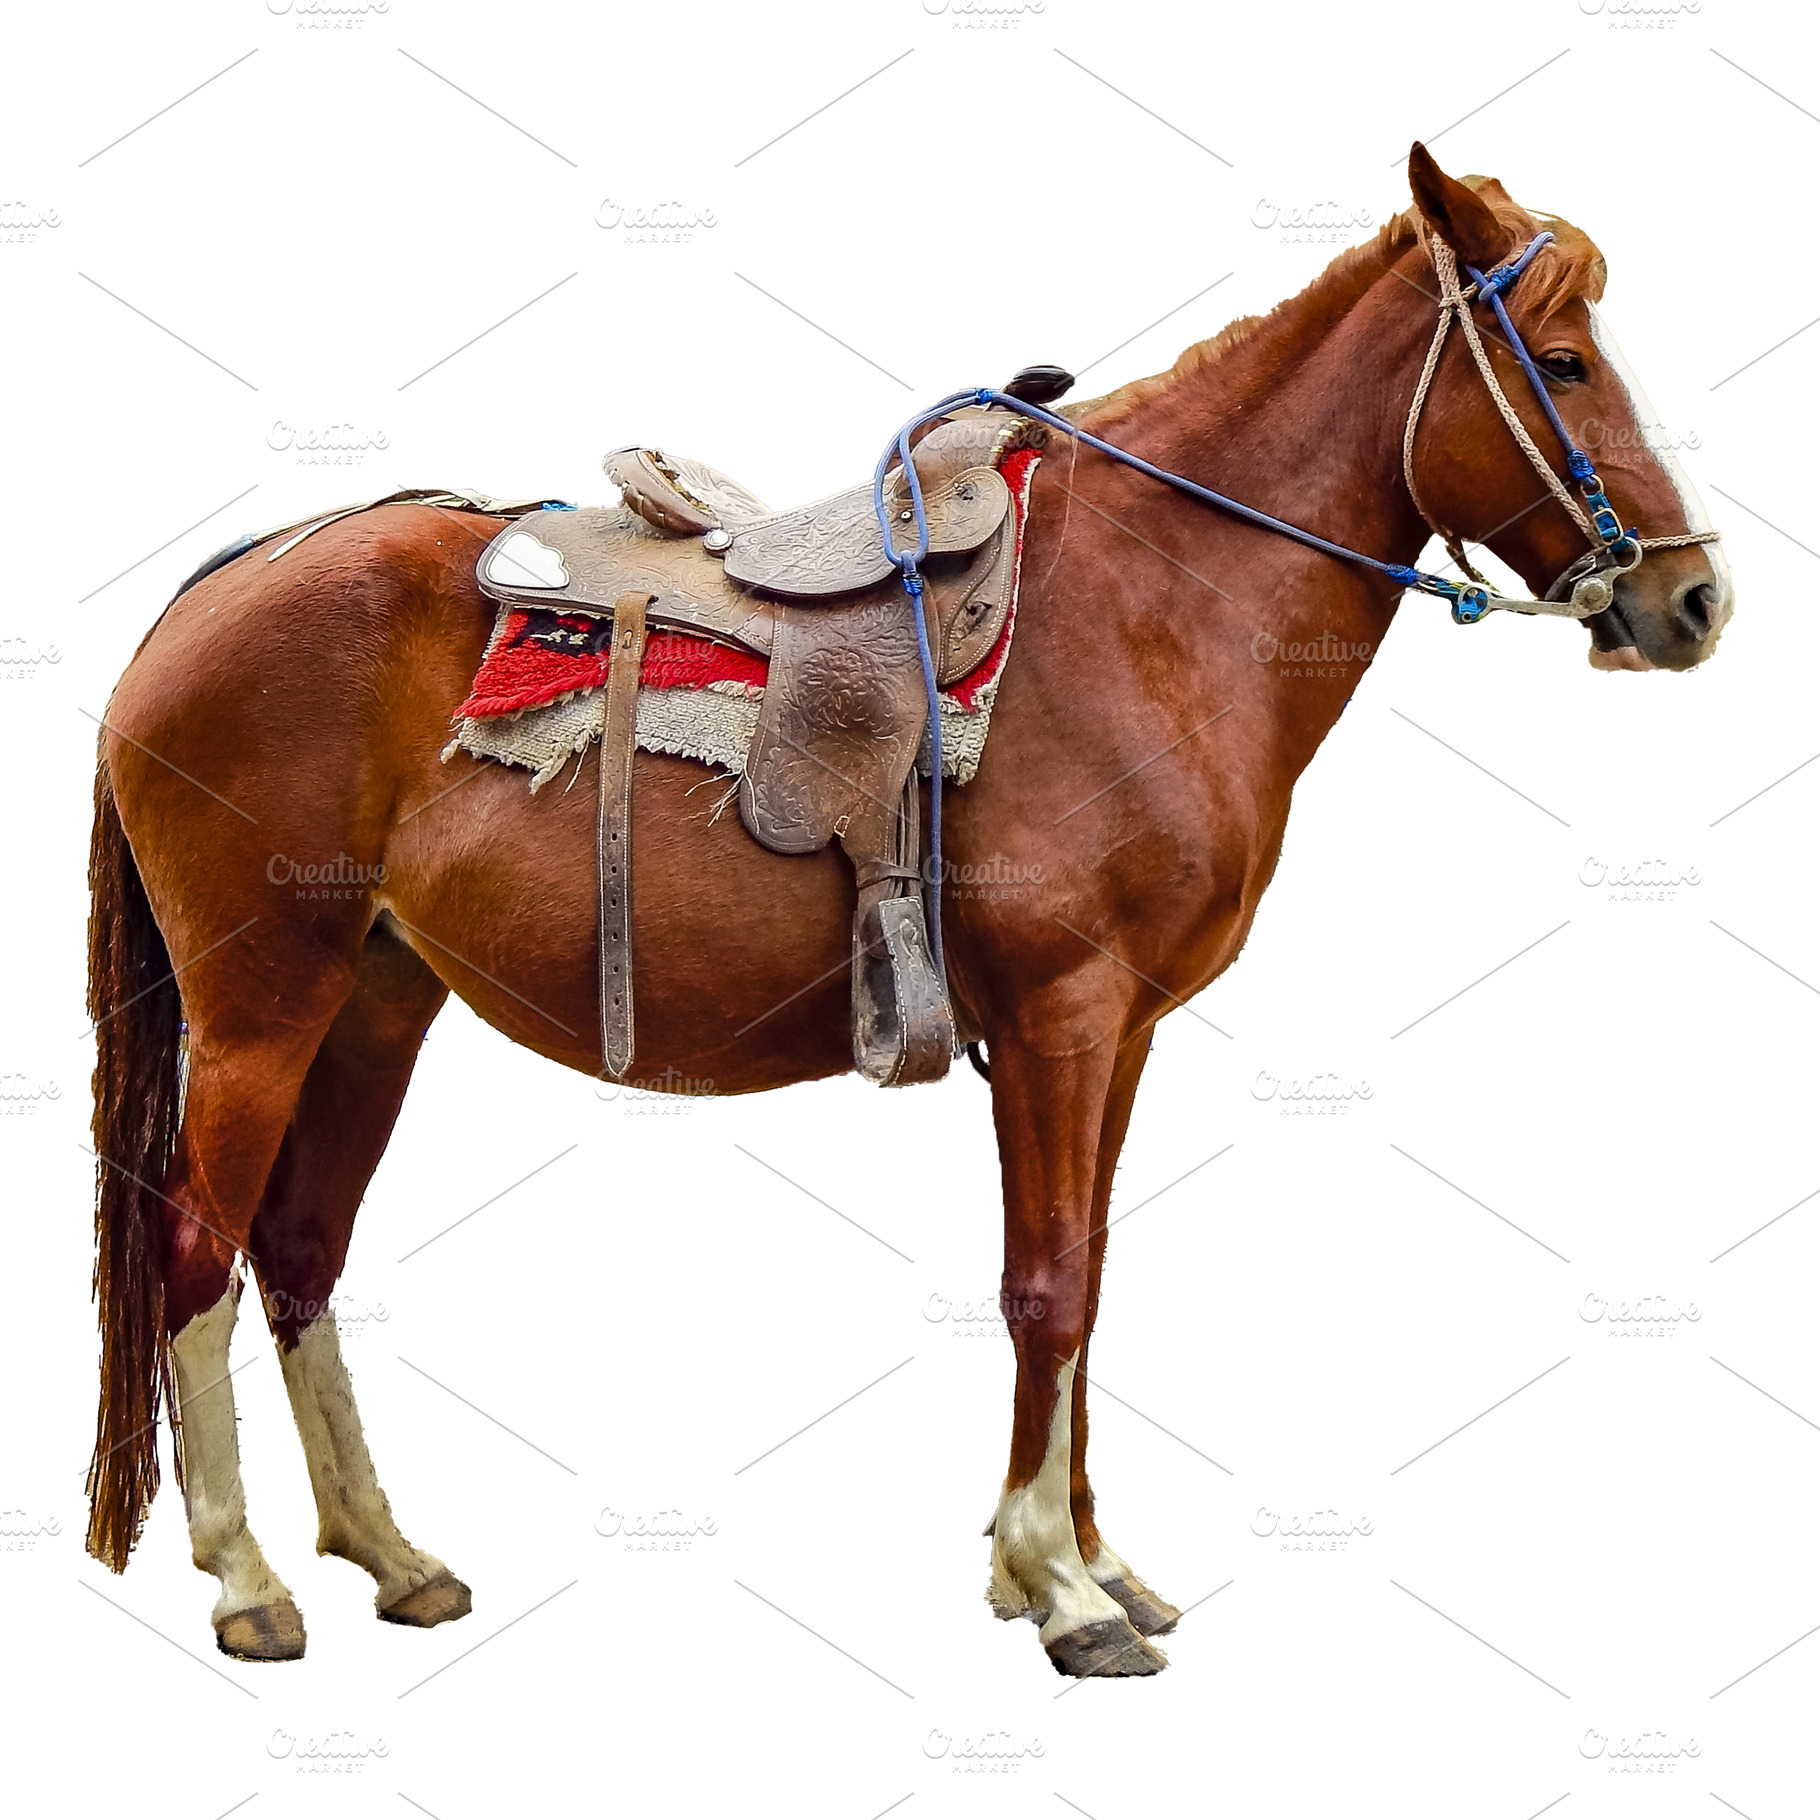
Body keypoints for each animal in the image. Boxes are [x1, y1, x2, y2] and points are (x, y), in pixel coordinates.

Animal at [82, 146, 1731, 1677]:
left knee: (301, 1249)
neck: (1149, 610)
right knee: (193, 1253)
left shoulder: (1119, 1032)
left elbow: (1091, 1277)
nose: (1695, 602)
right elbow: (1047, 1289)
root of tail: (211, 594)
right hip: (260, 1005)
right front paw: (1060, 1591)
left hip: (374, 997)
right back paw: (247, 1581)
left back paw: (389, 1553)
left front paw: (1092, 1560)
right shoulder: (1063, 1014)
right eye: (1565, 360)